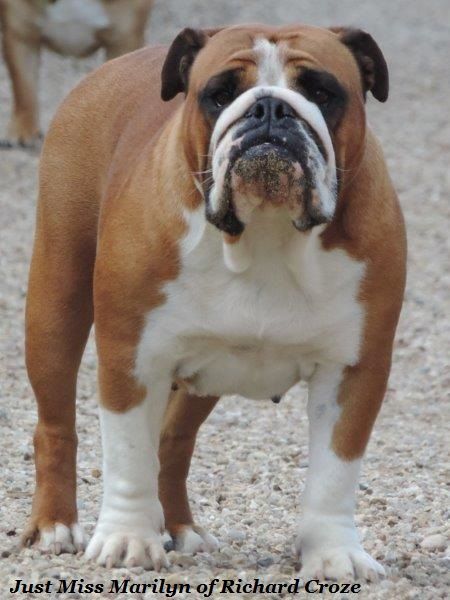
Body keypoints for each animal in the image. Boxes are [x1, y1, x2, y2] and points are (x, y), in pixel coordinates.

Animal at [23, 23, 406, 581]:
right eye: (220, 95)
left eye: (321, 91)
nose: (270, 108)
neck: (265, 233)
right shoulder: (131, 358)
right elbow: (129, 454)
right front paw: (127, 540)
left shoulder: (355, 369)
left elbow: (335, 471)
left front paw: (334, 552)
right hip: (57, 303)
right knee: (56, 427)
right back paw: (54, 525)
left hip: (207, 373)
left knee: (173, 440)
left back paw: (182, 529)